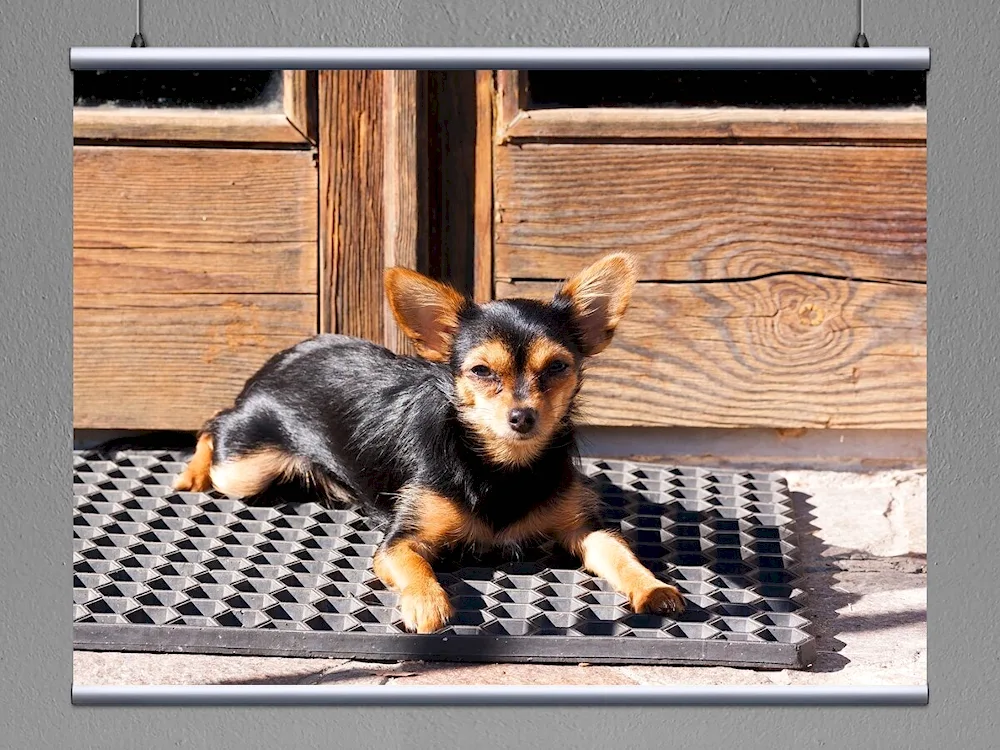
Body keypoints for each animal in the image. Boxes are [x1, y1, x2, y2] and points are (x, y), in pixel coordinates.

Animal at [176, 254, 684, 636]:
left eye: (557, 367)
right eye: (481, 371)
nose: (522, 417)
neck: (499, 467)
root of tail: (281, 357)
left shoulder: (586, 529)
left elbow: (620, 554)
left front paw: (652, 586)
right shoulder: (398, 543)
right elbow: (415, 566)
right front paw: (426, 602)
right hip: (245, 468)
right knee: (213, 423)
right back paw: (192, 472)